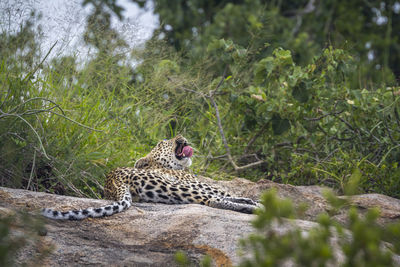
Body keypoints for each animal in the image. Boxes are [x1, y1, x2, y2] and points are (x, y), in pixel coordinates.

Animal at [40, 135, 260, 221]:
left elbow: (232, 194)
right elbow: (226, 193)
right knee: (212, 201)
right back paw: (255, 209)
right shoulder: (203, 184)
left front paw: (252, 200)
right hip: (178, 187)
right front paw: (256, 201)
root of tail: (112, 182)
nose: (180, 136)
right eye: (164, 142)